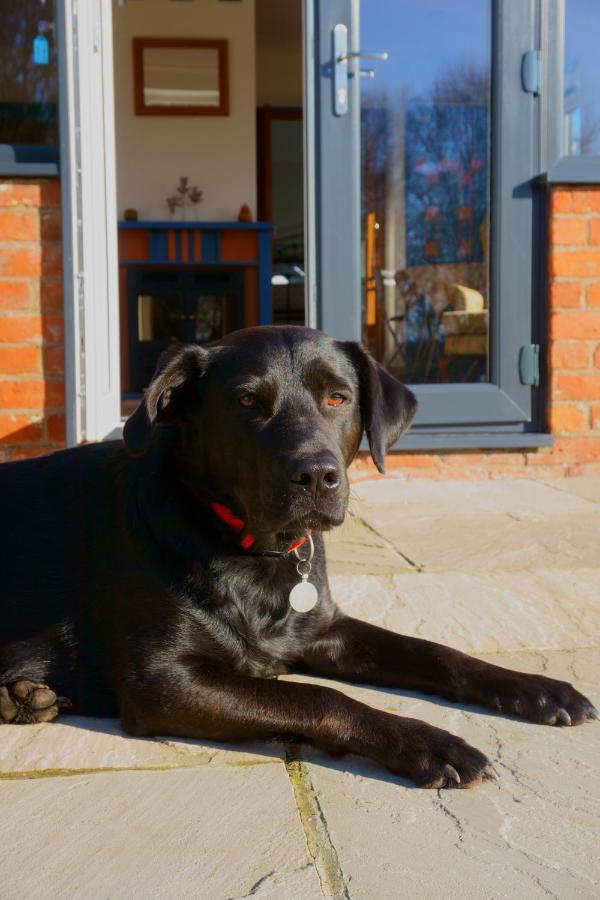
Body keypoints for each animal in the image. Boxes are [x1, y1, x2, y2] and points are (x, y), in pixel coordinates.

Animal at [2, 326, 596, 784]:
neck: (253, 549)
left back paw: (25, 697)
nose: (316, 475)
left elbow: (436, 652)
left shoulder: (323, 629)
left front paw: (537, 689)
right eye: (246, 402)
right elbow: (320, 697)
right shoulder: (161, 683)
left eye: (337, 397)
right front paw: (428, 742)